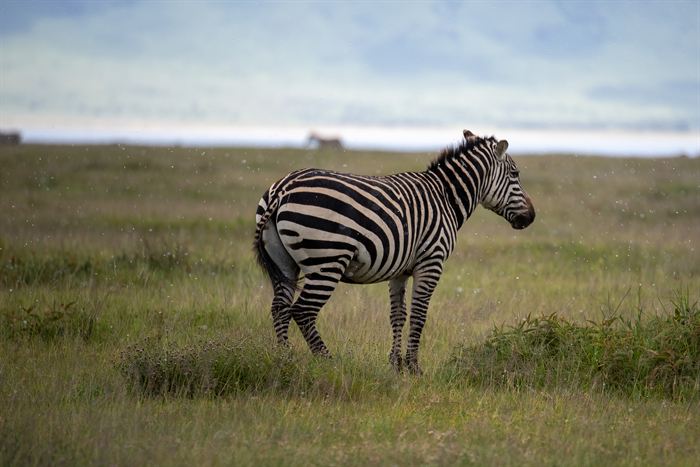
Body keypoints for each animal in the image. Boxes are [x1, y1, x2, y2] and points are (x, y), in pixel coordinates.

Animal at [253, 130, 535, 374]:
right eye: (515, 173)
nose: (531, 217)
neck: (445, 197)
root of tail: (283, 189)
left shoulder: (400, 270)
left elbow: (398, 315)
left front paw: (395, 365)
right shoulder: (431, 262)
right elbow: (419, 315)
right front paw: (413, 367)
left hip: (285, 263)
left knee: (279, 308)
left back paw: (285, 359)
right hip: (327, 261)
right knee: (303, 311)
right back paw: (327, 361)